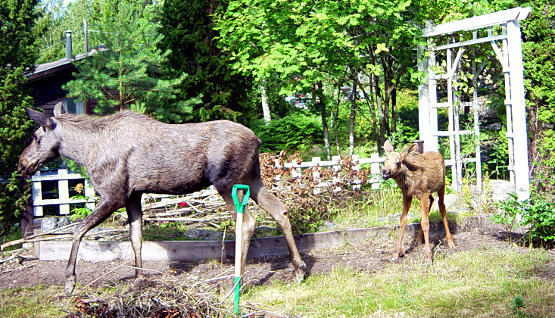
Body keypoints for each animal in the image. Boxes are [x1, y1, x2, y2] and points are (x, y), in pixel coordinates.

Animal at [19, 104, 308, 296]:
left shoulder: (112, 195)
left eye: (36, 137)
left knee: (247, 222)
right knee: (280, 210)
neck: (86, 151)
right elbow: (136, 238)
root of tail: (257, 140)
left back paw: (236, 284)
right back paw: (299, 269)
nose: (22, 163)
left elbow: (78, 230)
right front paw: (139, 279)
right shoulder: (133, 196)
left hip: (227, 182)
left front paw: (69, 281)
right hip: (252, 179)